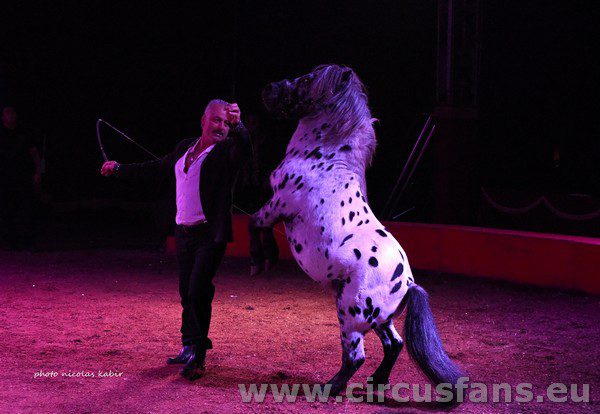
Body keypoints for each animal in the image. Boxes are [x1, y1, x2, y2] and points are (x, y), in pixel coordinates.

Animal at [248, 64, 464, 402]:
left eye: (307, 81)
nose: (269, 88)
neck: (324, 159)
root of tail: (408, 283)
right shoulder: (276, 207)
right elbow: (260, 228)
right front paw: (267, 258)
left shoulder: (278, 204)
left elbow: (253, 223)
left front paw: (259, 262)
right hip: (380, 319)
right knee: (394, 344)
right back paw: (376, 383)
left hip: (351, 313)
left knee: (356, 357)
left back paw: (329, 388)